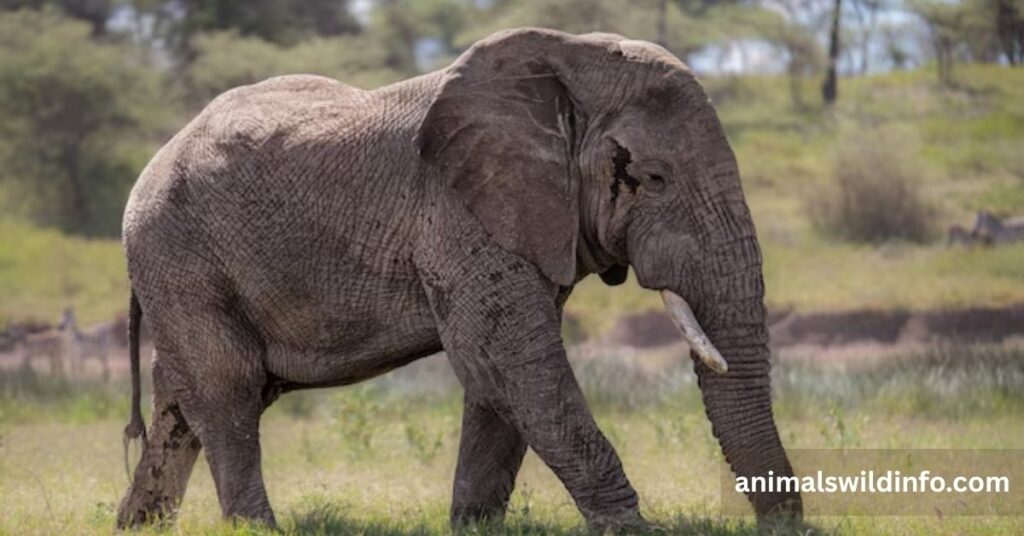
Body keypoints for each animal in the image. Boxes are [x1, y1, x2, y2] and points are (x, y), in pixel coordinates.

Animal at [116, 27, 802, 532]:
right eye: (653, 178)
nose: (789, 525)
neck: (562, 64)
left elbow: (497, 379)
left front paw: (472, 527)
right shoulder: (454, 212)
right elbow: (508, 361)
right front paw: (633, 532)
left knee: (183, 402)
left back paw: (135, 525)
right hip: (178, 255)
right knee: (228, 390)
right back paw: (255, 529)